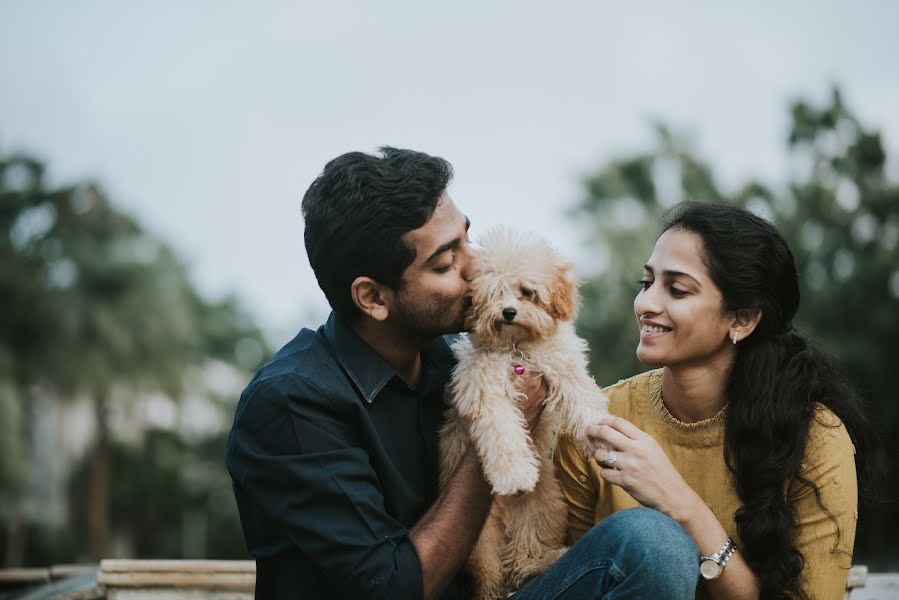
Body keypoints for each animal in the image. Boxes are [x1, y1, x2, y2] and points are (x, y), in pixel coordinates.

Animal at [438, 227, 608, 596]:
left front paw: (603, 436)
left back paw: (541, 563)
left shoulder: (562, 365)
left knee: (524, 555)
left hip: (541, 509)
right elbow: (502, 434)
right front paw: (515, 474)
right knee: (490, 576)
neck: (517, 347)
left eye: (526, 292)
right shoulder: (486, 391)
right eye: (493, 294)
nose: (508, 312)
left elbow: (584, 400)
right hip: (480, 539)